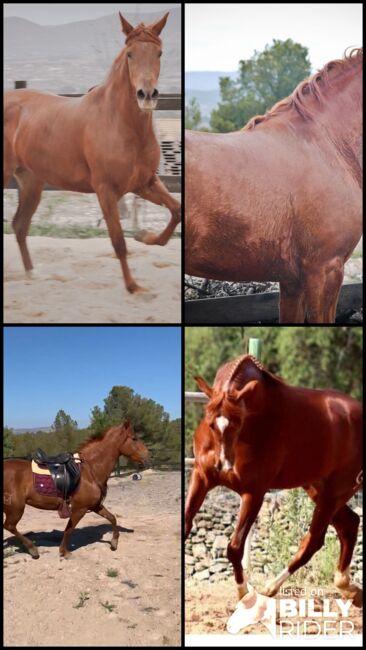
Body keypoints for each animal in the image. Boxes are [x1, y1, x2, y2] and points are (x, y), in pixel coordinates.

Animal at [2, 13, 180, 292]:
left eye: (159, 53)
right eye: (130, 54)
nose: (147, 95)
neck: (120, 123)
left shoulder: (145, 183)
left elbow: (177, 210)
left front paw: (144, 236)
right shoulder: (106, 190)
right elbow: (118, 241)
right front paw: (134, 288)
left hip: (31, 181)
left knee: (20, 225)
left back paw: (32, 274)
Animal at [2, 420, 149, 556]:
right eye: (134, 438)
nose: (148, 456)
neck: (89, 470)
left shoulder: (95, 506)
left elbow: (112, 518)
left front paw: (114, 542)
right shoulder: (80, 509)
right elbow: (69, 529)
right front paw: (64, 551)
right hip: (16, 508)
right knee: (10, 526)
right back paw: (32, 549)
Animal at [186, 352, 364, 604]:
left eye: (238, 423)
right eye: (210, 422)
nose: (223, 466)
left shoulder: (254, 492)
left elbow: (235, 547)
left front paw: (244, 592)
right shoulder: (201, 477)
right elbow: (185, 525)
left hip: (337, 490)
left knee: (314, 540)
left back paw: (270, 588)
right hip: (319, 488)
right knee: (349, 525)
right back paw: (349, 588)